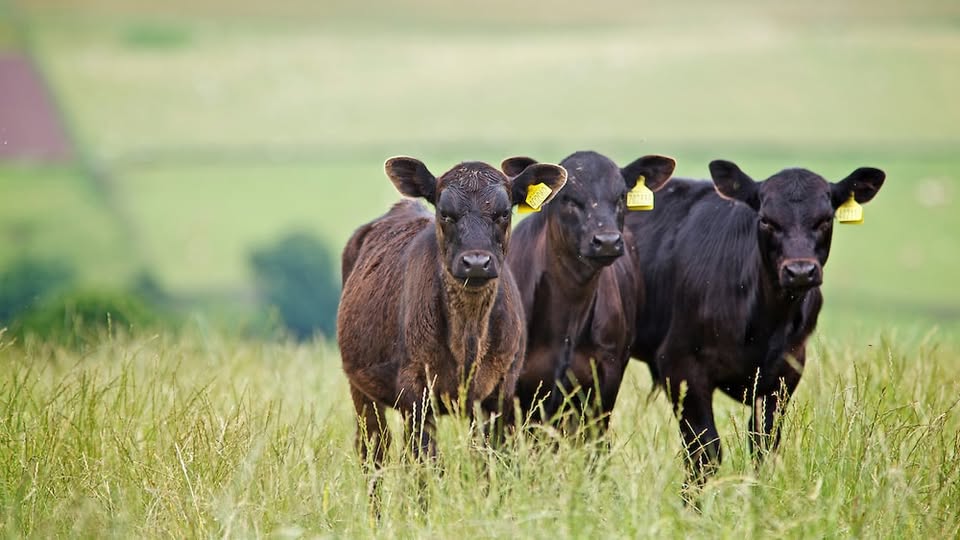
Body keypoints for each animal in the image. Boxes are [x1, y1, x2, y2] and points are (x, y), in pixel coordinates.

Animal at [632, 160, 884, 490]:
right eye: (766, 221)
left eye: (825, 219)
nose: (800, 271)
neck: (763, 325)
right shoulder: (680, 366)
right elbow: (704, 453)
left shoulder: (784, 375)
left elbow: (763, 448)